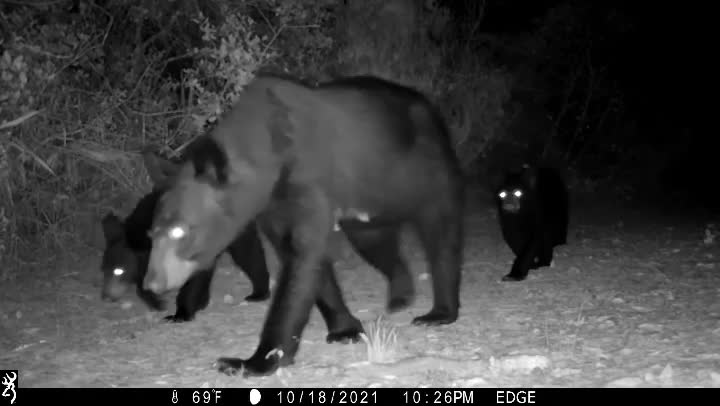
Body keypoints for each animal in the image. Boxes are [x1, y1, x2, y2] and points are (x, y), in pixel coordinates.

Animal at [98, 151, 270, 322]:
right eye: (103, 270)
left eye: (119, 271)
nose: (105, 296)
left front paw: (179, 312)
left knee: (248, 255)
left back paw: (258, 292)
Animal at [142, 74, 466, 376]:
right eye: (151, 233)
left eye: (180, 230)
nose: (151, 283)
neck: (268, 152)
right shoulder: (273, 208)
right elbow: (306, 259)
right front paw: (345, 329)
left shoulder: (307, 179)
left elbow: (301, 262)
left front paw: (253, 361)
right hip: (367, 204)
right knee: (375, 242)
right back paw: (401, 293)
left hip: (429, 172)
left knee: (441, 235)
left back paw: (439, 312)